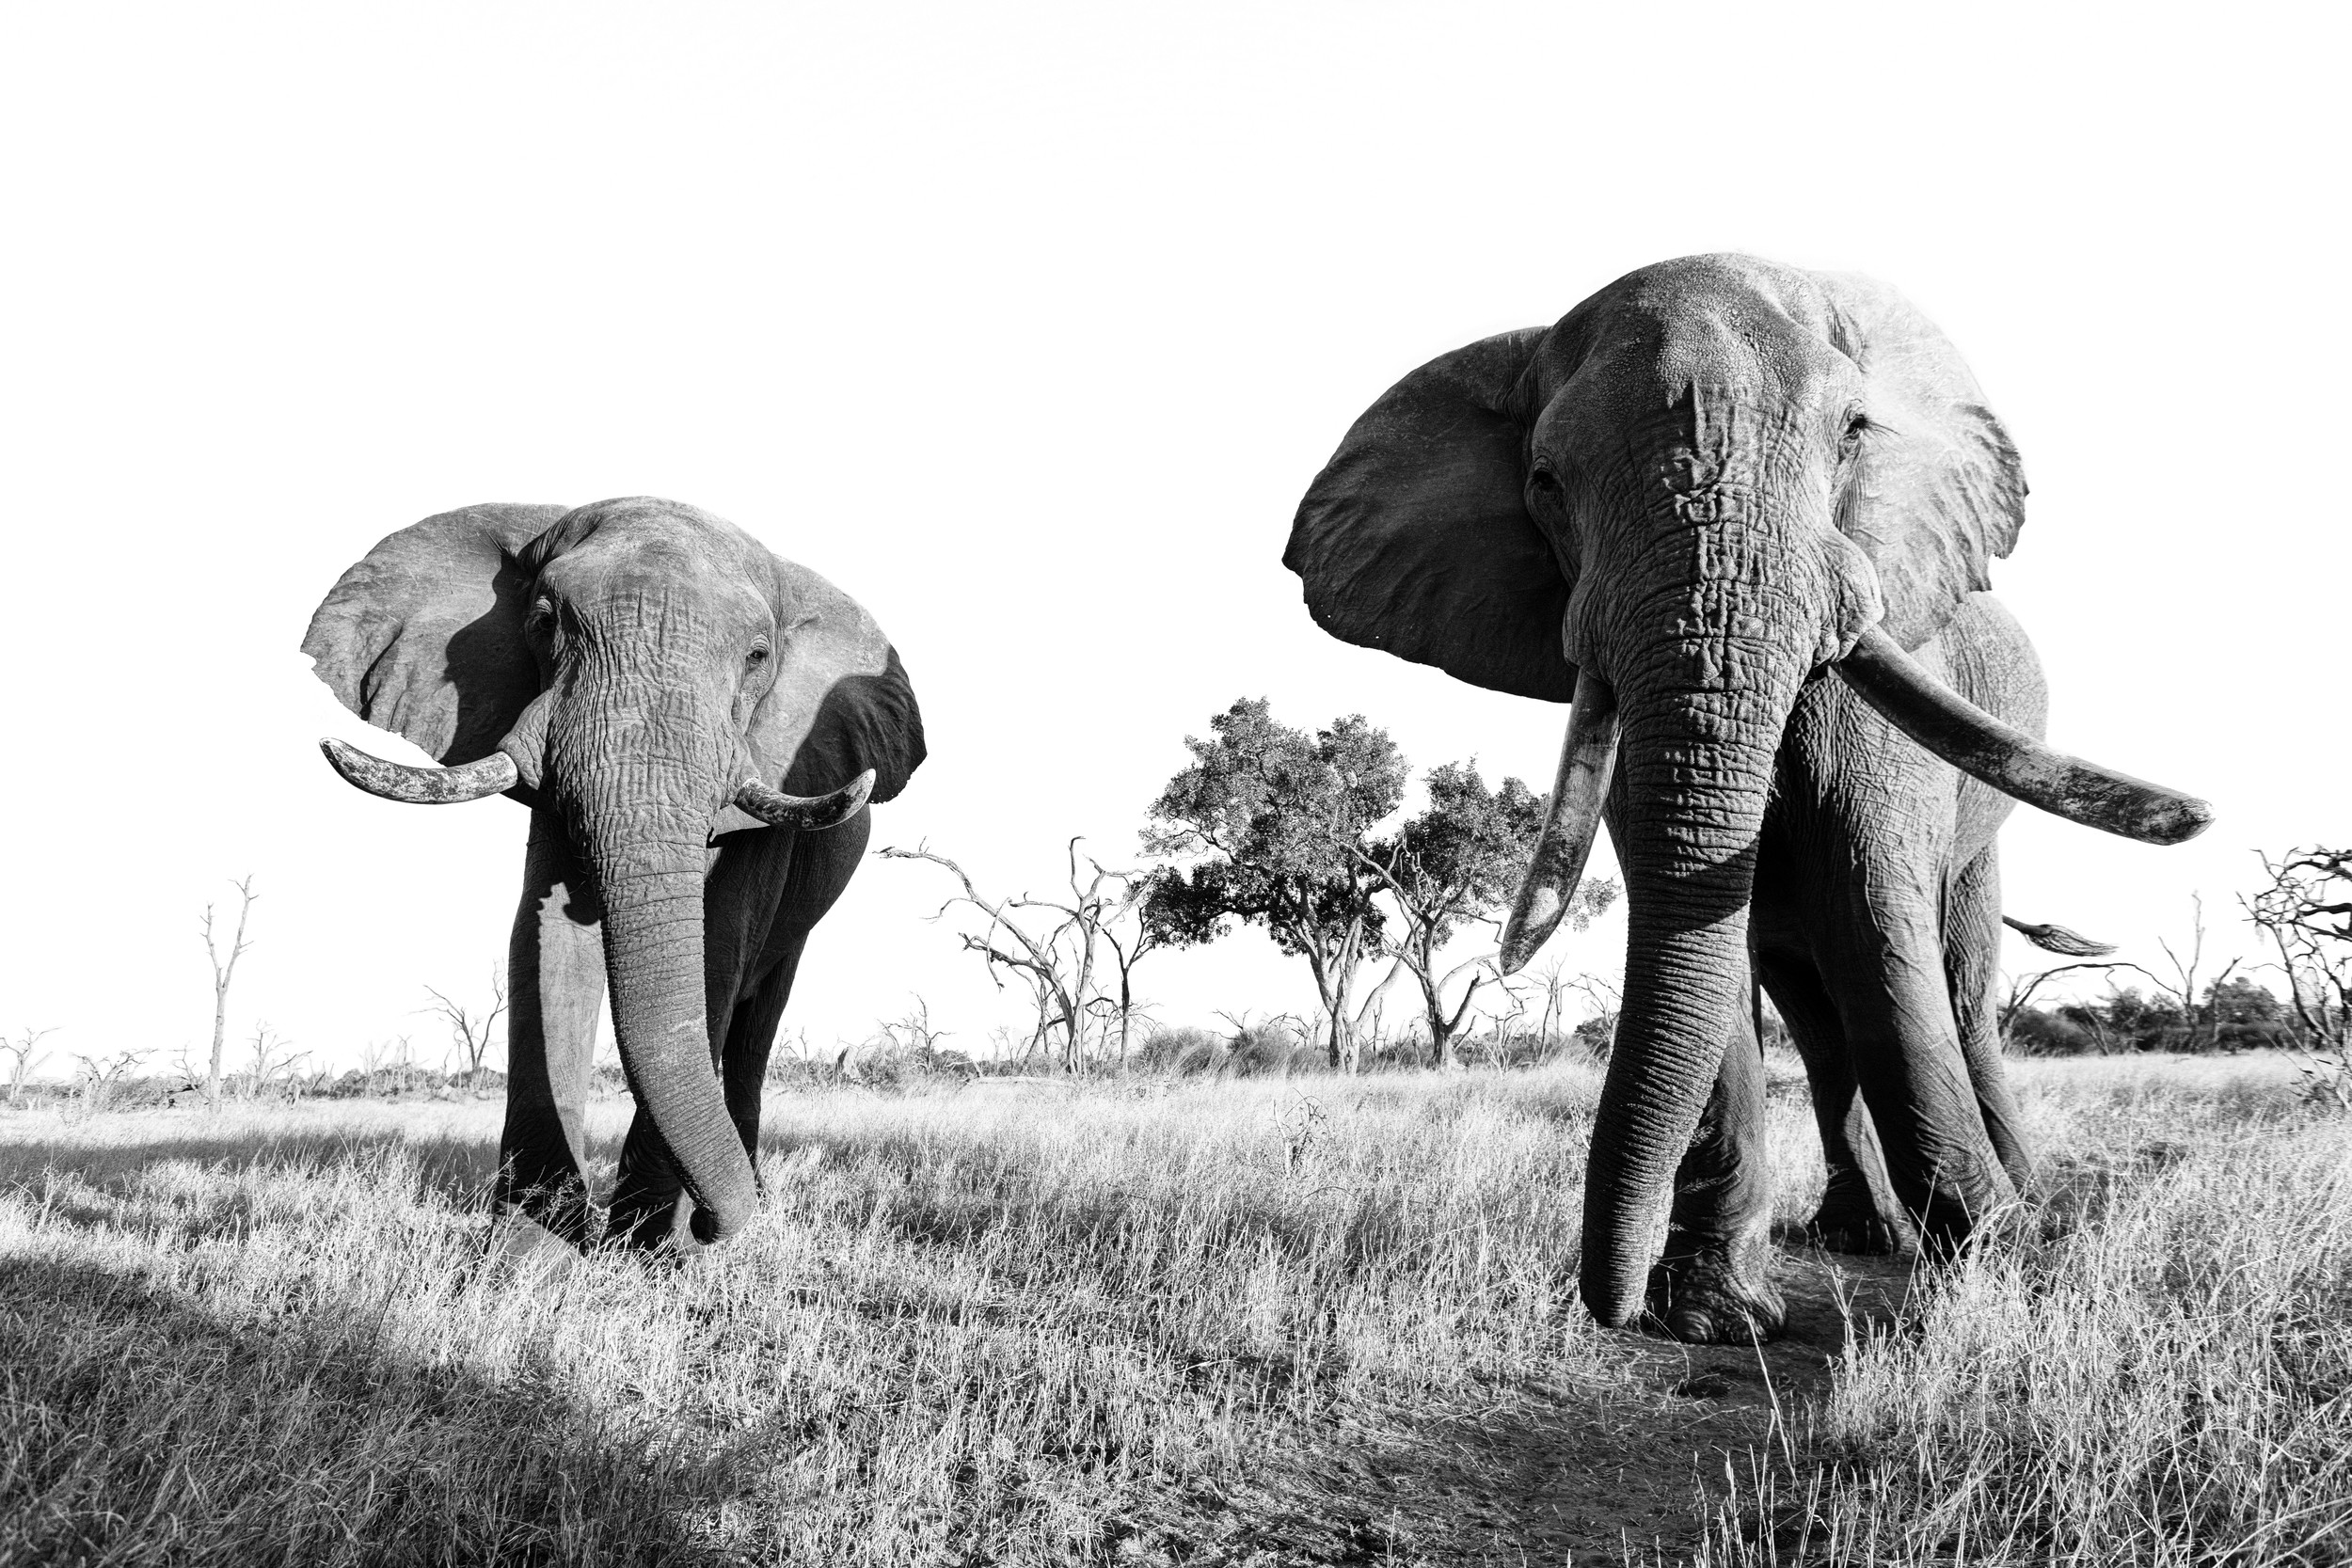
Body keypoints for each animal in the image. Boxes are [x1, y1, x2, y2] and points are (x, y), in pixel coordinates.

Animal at [303, 496, 923, 1253]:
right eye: (544, 621)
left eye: (758, 656)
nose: (710, 1225)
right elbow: (545, 941)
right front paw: (529, 1249)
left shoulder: (779, 778)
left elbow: (719, 950)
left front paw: (650, 1249)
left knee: (759, 1014)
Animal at [1284, 254, 2207, 1341]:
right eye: (1545, 483)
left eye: (1852, 433)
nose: (1610, 1301)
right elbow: (1701, 941)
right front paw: (1713, 1316)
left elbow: (1876, 923)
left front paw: (1996, 1261)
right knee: (1814, 1012)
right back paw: (1864, 1233)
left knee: (1957, 985)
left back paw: (2021, 1200)